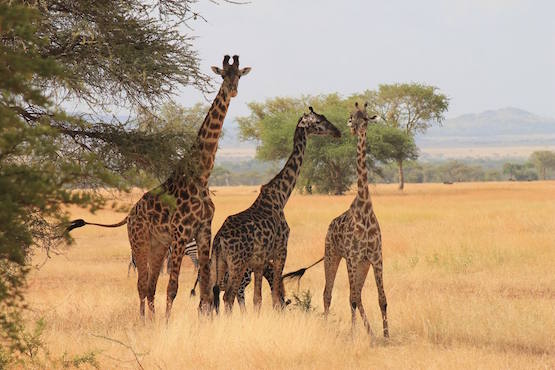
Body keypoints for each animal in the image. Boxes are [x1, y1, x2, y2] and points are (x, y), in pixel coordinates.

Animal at [65, 55, 252, 318]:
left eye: (239, 75)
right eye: (223, 75)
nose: (233, 90)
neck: (201, 176)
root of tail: (129, 215)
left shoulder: (204, 230)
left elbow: (205, 289)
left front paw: (203, 320)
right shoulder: (181, 232)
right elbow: (173, 288)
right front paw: (167, 321)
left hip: (158, 245)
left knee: (150, 285)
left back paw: (151, 320)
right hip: (140, 241)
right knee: (142, 285)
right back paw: (145, 321)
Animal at [210, 107, 344, 312]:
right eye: (319, 121)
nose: (337, 131)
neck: (281, 197)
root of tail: (219, 240)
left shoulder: (260, 261)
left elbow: (258, 299)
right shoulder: (281, 250)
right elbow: (274, 297)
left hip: (221, 263)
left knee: (214, 295)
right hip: (237, 263)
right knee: (228, 296)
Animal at [324, 102, 388, 338]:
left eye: (365, 118)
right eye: (352, 116)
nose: (353, 127)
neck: (365, 211)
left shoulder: (376, 258)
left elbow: (382, 300)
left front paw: (386, 335)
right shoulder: (352, 257)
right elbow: (350, 299)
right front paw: (352, 336)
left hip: (362, 264)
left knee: (357, 294)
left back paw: (371, 333)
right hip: (332, 255)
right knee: (329, 293)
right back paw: (326, 326)